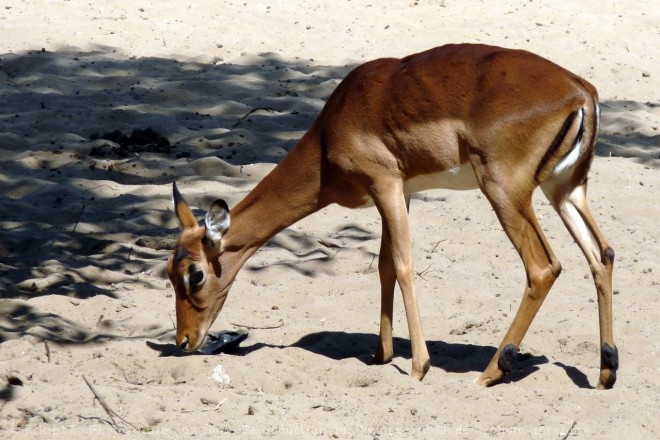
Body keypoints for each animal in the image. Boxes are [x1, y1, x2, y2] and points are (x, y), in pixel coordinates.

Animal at [169, 44, 620, 388]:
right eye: (168, 273)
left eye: (195, 274)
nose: (183, 341)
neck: (330, 133)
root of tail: (582, 92)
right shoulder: (401, 192)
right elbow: (385, 265)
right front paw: (381, 354)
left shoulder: (384, 185)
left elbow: (403, 265)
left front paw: (419, 366)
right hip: (564, 191)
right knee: (603, 254)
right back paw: (605, 371)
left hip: (506, 193)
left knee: (544, 268)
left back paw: (492, 371)